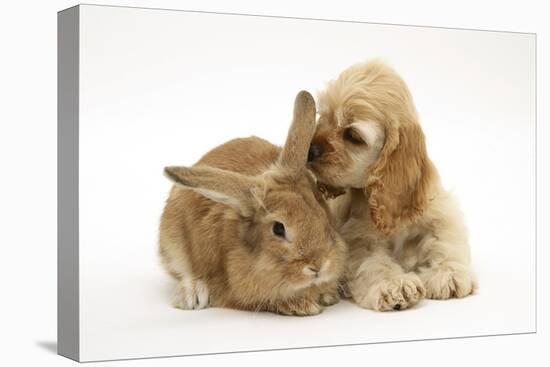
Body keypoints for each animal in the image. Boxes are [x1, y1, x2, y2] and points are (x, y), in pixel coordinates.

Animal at [160, 92, 348, 316]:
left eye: (322, 214)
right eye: (278, 228)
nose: (318, 266)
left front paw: (327, 296)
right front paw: (302, 305)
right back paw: (192, 295)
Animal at [310, 61, 478, 314]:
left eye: (352, 135)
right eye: (323, 117)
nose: (310, 150)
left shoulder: (440, 210)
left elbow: (446, 240)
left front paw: (448, 273)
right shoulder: (359, 236)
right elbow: (373, 262)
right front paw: (394, 285)